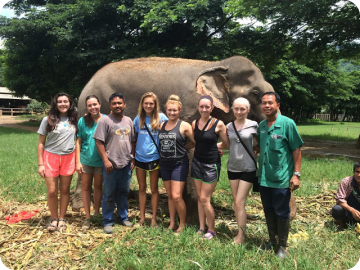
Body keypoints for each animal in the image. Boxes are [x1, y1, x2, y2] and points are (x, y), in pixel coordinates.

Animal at [71, 56, 296, 223]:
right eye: (256, 93)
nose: (291, 216)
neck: (217, 64)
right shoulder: (191, 109)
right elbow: (189, 150)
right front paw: (193, 219)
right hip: (91, 108)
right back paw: (81, 207)